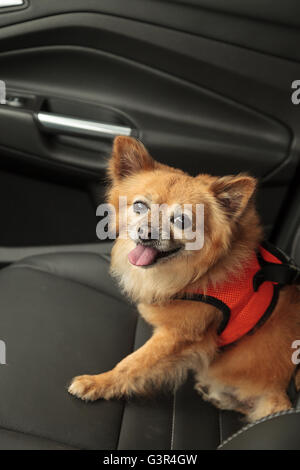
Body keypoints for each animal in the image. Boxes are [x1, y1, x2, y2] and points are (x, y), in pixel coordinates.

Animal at [68, 136, 300, 422]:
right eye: (140, 206)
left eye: (181, 220)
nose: (146, 233)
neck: (198, 270)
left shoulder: (176, 336)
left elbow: (133, 363)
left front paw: (99, 383)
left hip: (273, 403)